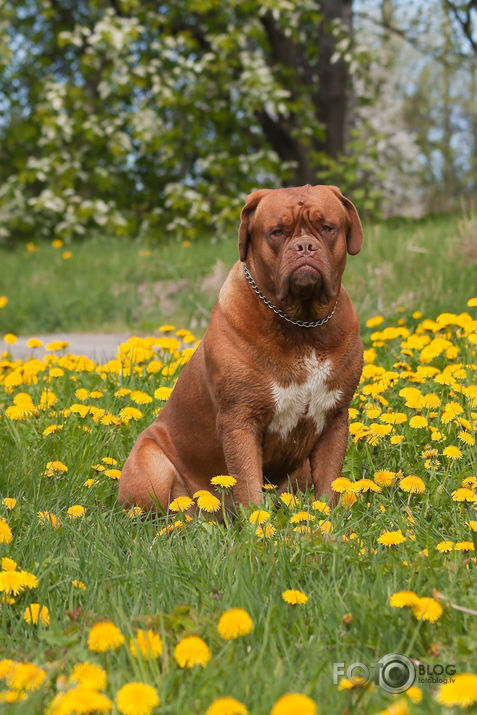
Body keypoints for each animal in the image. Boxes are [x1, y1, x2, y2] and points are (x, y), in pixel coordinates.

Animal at [117, 182, 362, 512]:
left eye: (327, 228)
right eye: (277, 232)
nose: (304, 246)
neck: (302, 325)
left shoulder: (335, 419)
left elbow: (329, 485)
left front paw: (326, 520)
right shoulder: (240, 421)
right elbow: (247, 484)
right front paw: (257, 523)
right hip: (151, 465)